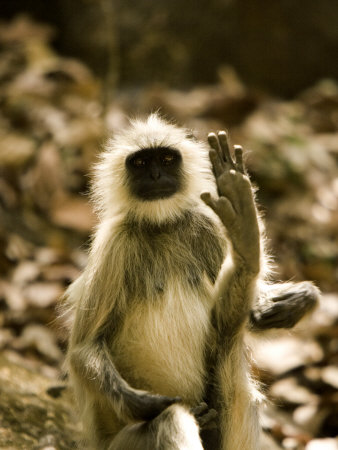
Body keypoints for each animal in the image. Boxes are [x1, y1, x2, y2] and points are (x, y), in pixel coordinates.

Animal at [64, 116, 320, 450]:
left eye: (166, 159)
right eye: (141, 162)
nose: (155, 175)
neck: (162, 226)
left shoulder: (205, 225)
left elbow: (252, 316)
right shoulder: (114, 244)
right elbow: (83, 348)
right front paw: (142, 404)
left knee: (228, 342)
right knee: (170, 419)